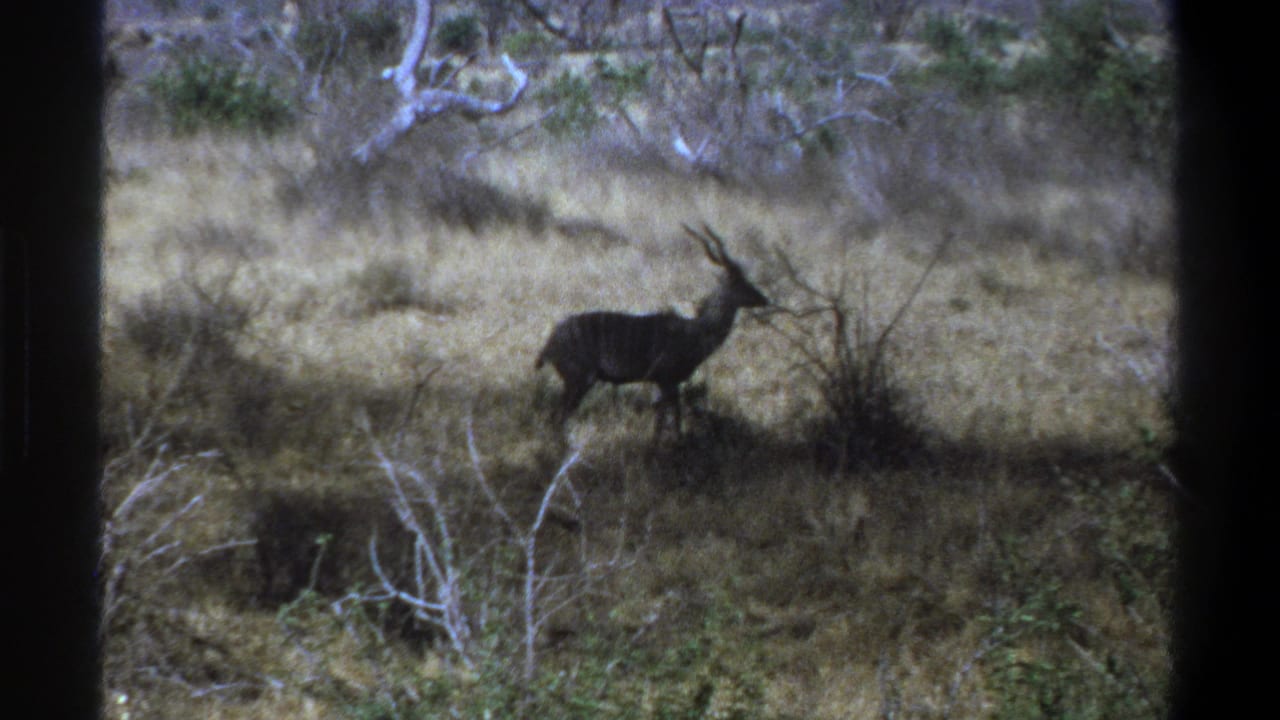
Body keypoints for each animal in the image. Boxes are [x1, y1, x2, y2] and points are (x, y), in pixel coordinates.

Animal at [535, 224, 769, 437]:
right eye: (740, 283)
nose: (764, 299)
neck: (696, 331)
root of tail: (550, 344)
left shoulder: (664, 383)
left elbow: (665, 417)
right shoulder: (666, 379)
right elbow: (670, 418)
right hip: (580, 378)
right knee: (558, 415)